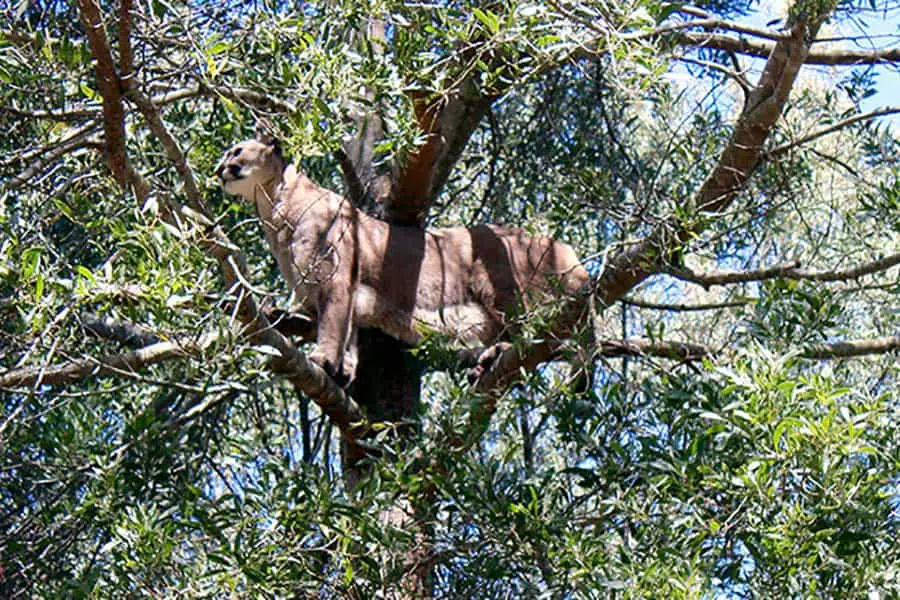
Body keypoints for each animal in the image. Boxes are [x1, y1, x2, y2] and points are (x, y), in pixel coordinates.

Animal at [214, 134, 588, 386]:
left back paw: (497, 354)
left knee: (531, 333)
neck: (273, 205)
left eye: (236, 151)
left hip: (499, 286)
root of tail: (562, 246)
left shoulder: (335, 279)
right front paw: (343, 369)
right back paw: (484, 362)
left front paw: (323, 360)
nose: (218, 169)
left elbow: (333, 325)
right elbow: (346, 330)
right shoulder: (331, 293)